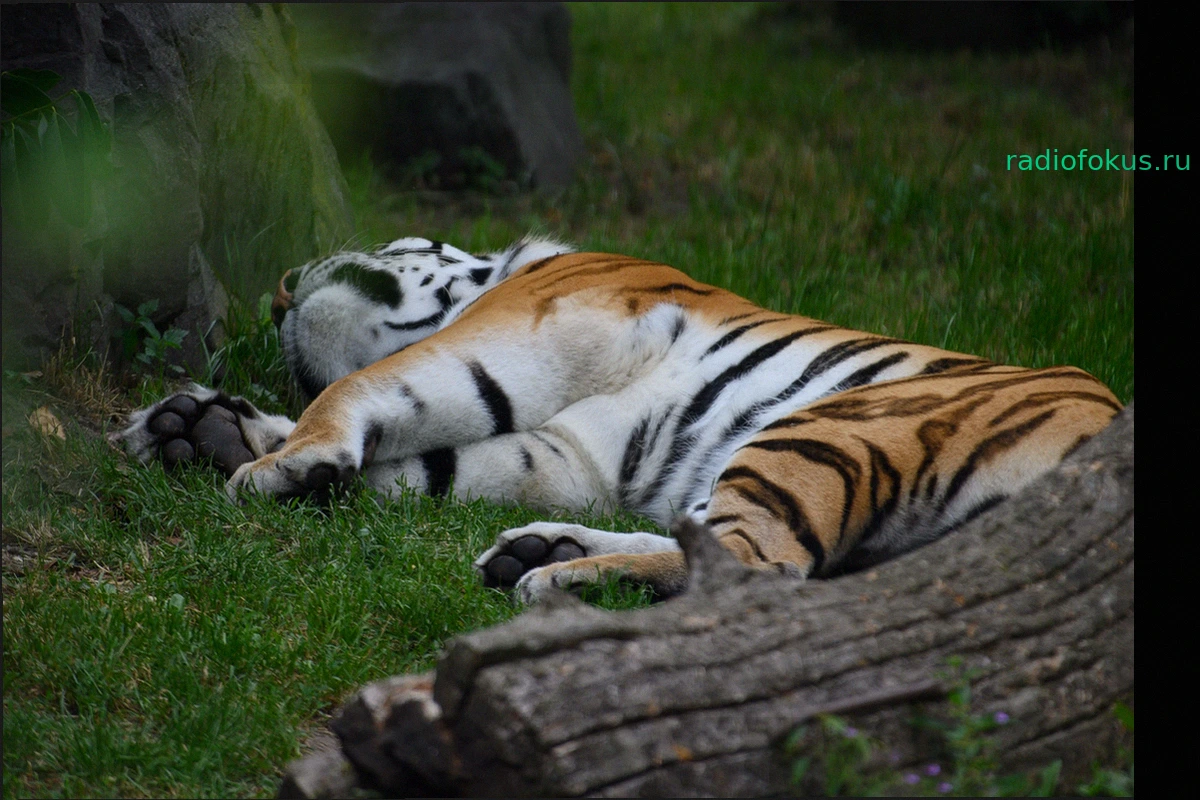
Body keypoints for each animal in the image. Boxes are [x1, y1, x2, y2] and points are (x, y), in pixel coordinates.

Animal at [113, 236, 1123, 603]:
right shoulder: (566, 451)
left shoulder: (520, 330)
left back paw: (556, 580)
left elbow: (360, 391)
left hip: (833, 424)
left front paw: (271, 463)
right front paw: (194, 428)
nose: (280, 288)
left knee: (761, 570)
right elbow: (418, 460)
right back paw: (543, 555)